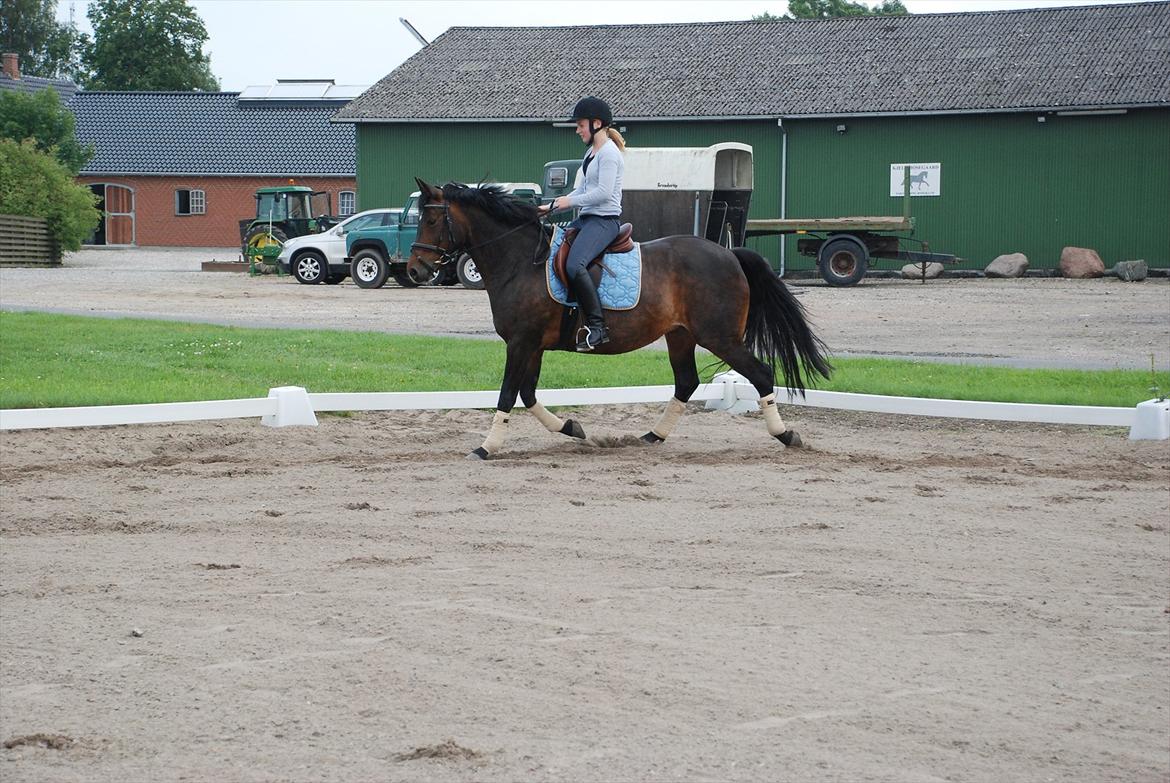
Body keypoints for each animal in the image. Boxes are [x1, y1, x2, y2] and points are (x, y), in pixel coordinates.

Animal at [409, 179, 833, 458]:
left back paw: (786, 435)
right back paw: (653, 436)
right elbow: (527, 393)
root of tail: (729, 253)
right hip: (681, 335)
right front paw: (571, 428)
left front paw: (486, 447)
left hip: (720, 337)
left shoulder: (521, 342)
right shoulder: (531, 344)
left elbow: (508, 393)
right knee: (687, 382)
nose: (415, 270)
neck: (518, 260)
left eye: (430, 221)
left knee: (760, 373)